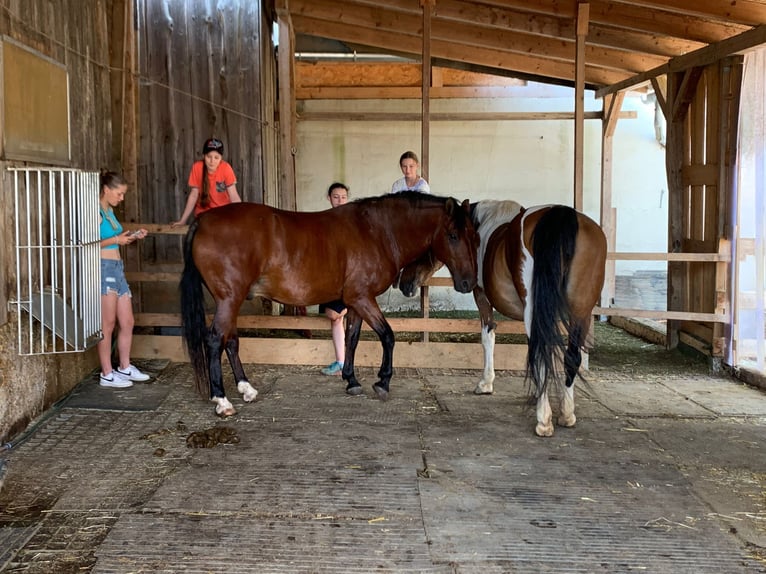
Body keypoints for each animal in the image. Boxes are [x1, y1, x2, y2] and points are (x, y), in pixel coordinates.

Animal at [182, 192, 480, 414]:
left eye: (475, 238)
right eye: (453, 235)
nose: (468, 283)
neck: (378, 231)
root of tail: (204, 220)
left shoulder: (357, 301)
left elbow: (352, 339)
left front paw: (351, 380)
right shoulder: (362, 297)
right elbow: (387, 335)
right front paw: (383, 381)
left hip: (230, 301)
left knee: (231, 341)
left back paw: (246, 389)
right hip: (229, 299)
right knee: (215, 340)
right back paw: (222, 400)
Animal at [396, 200, 608, 438]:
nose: (404, 284)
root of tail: (560, 215)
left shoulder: (481, 297)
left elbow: (488, 338)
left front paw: (485, 384)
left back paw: (544, 420)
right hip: (581, 312)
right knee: (570, 356)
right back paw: (566, 414)